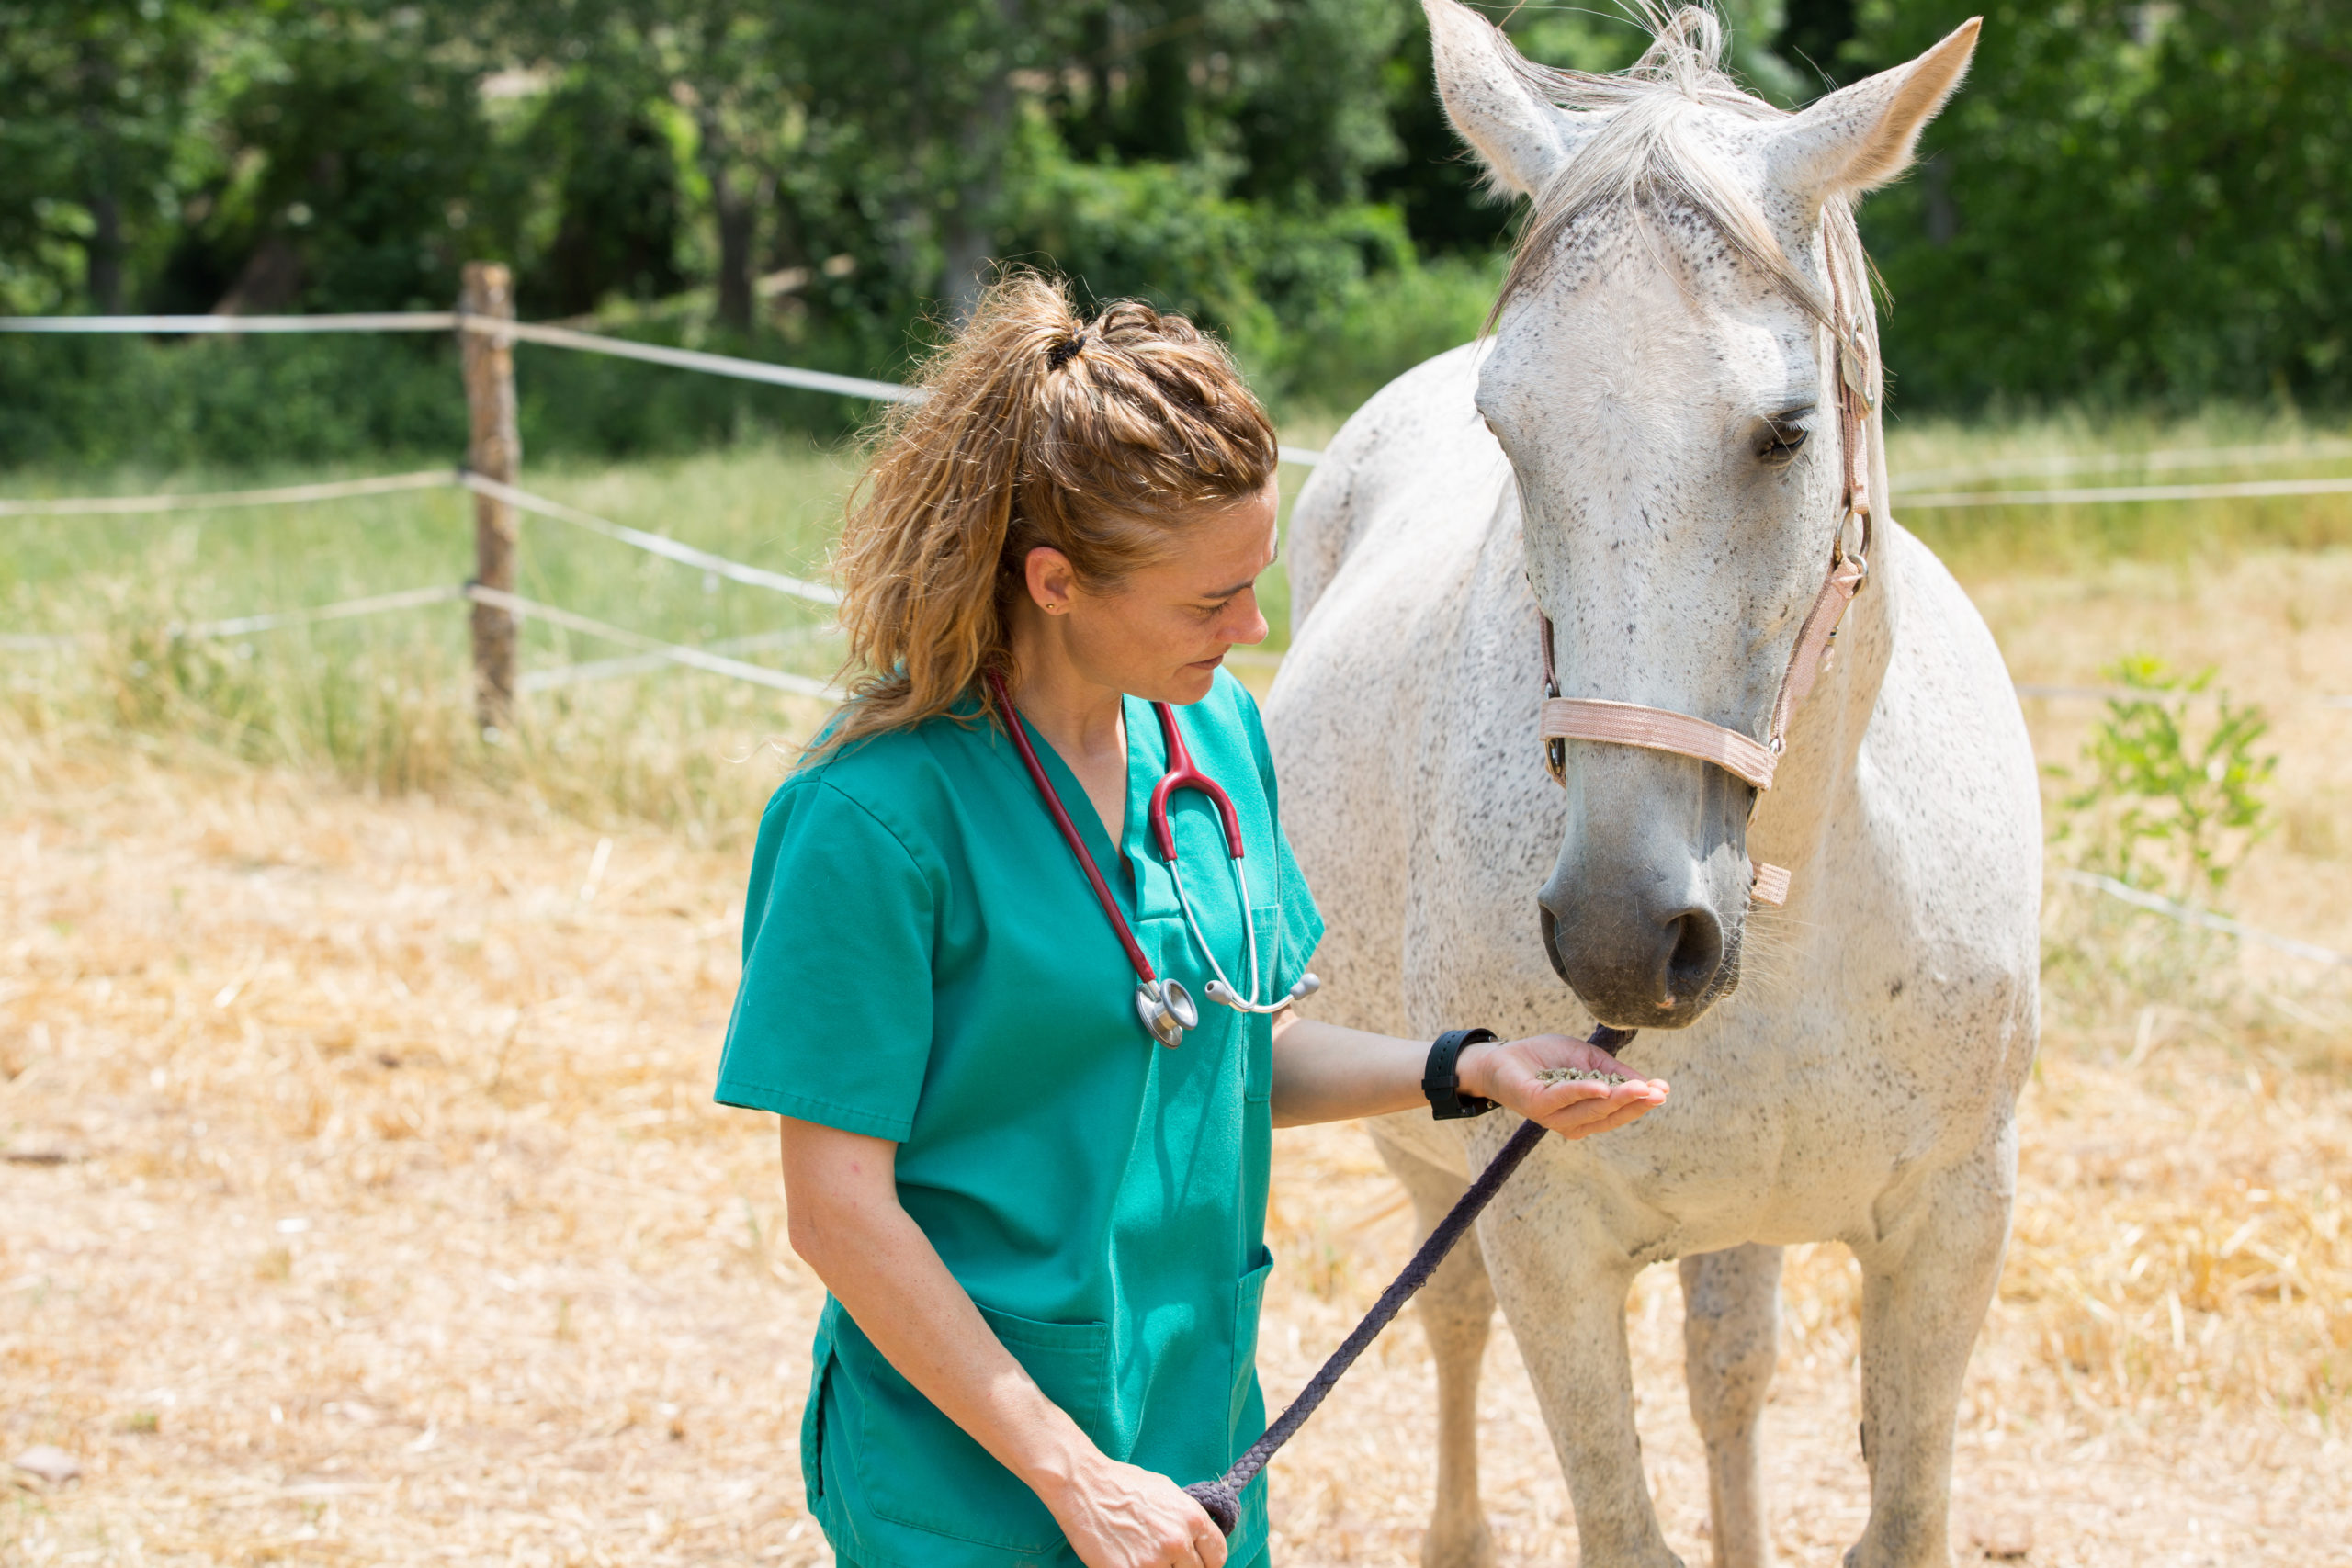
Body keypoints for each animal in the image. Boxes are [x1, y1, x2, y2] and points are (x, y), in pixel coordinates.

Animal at [1270, 3, 2041, 1568]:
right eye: (1508, 432)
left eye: (1787, 429)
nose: (1627, 935)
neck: (1805, 901)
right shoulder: (1548, 1242)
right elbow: (1620, 1513)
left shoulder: (1954, 1225)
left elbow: (1886, 1497)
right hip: (1431, 1168)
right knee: (1453, 1316)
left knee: (1726, 1372)